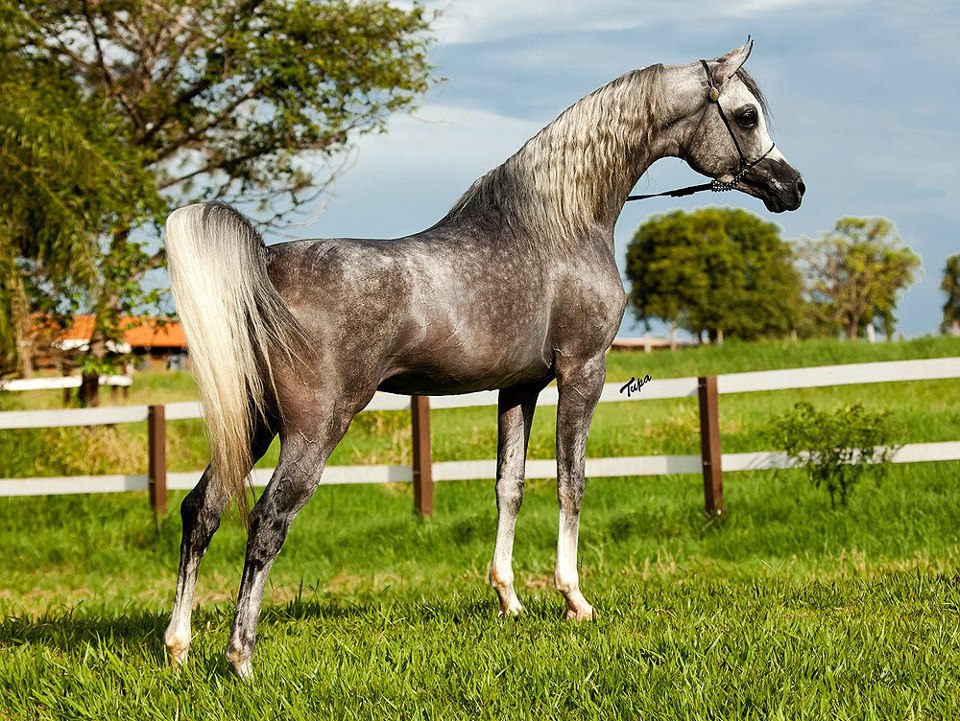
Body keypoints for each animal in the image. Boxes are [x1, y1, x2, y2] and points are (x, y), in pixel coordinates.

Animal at [162, 40, 804, 680]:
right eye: (746, 115)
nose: (793, 187)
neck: (561, 224)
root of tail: (265, 266)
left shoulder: (519, 388)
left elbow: (509, 485)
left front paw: (509, 598)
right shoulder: (582, 372)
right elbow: (571, 482)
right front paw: (574, 599)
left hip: (253, 422)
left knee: (202, 511)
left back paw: (178, 647)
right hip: (313, 429)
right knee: (267, 522)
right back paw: (240, 658)